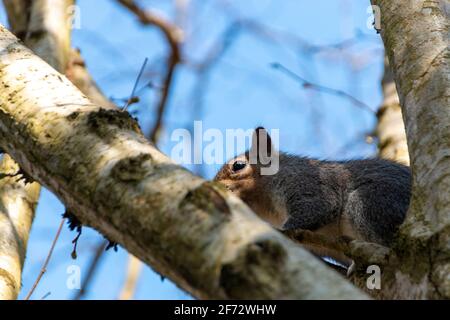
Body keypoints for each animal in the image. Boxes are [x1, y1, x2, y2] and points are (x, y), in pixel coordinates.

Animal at [214, 127, 412, 264]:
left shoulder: (305, 182)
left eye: (238, 165)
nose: (214, 184)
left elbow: (318, 207)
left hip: (374, 201)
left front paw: (280, 231)